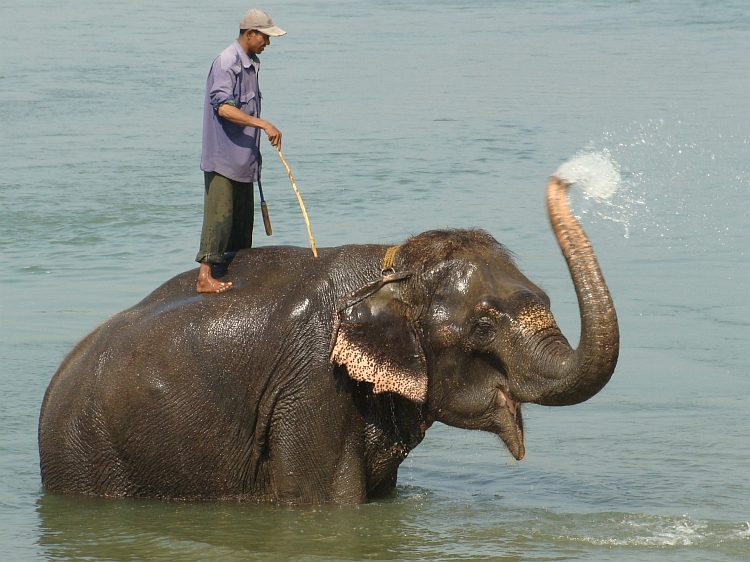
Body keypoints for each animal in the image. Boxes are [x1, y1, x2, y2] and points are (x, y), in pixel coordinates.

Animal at [38, 177, 620, 500]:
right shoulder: (313, 390)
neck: (390, 270)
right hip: (88, 456)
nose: (564, 182)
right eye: (481, 326)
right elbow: (323, 500)